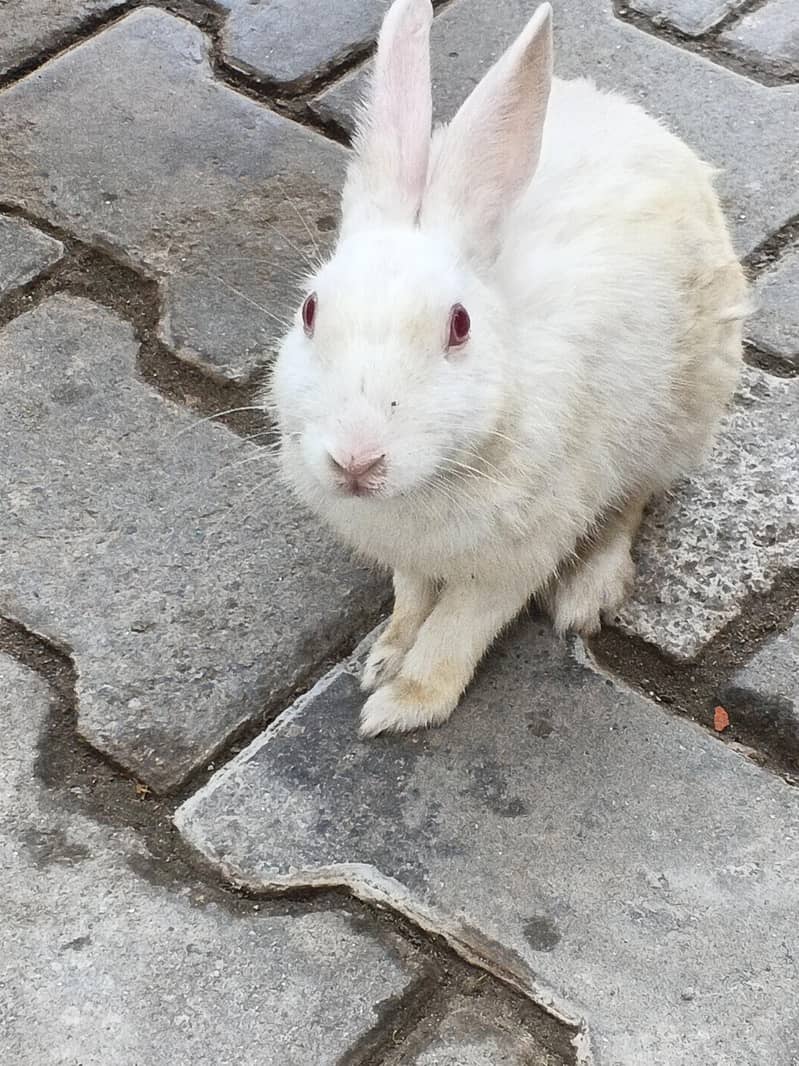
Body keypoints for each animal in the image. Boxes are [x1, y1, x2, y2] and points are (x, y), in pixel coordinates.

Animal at [268, 0, 749, 738]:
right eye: (310, 310)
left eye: (459, 325)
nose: (356, 462)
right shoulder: (411, 560)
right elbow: (413, 602)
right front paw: (383, 656)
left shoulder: (512, 560)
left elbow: (456, 631)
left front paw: (402, 705)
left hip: (677, 414)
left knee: (631, 500)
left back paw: (588, 592)